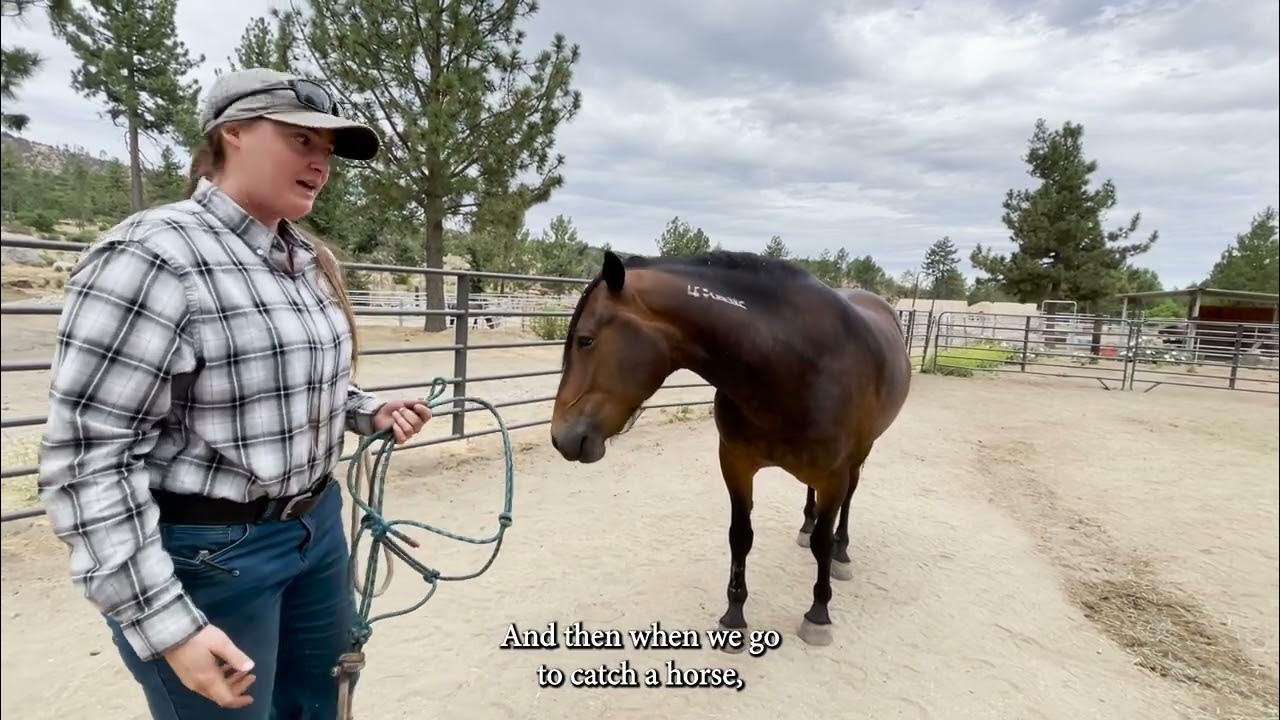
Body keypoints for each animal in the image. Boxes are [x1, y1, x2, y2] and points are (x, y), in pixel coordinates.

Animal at [549, 249, 912, 646]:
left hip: (859, 455)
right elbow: (740, 536)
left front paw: (818, 614)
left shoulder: (834, 476)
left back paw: (841, 551)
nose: (560, 437)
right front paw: (734, 613)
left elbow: (822, 542)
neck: (794, 363)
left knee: (848, 501)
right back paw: (807, 525)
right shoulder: (736, 463)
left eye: (585, 340)